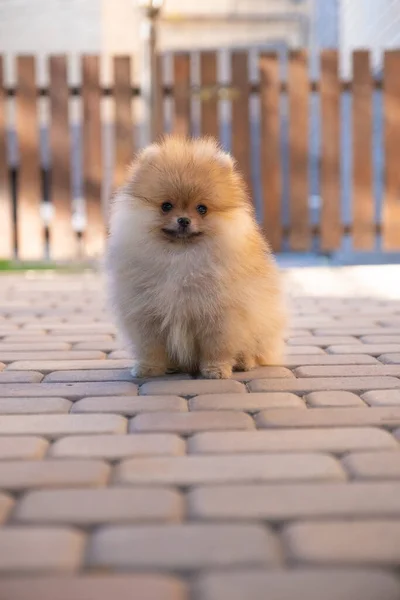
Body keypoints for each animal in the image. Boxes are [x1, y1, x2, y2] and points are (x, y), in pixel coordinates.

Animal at [107, 138, 284, 378]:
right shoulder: (146, 313)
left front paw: (216, 369)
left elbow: (217, 346)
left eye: (202, 209)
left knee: (254, 349)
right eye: (166, 206)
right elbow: (151, 347)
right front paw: (149, 368)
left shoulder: (219, 314)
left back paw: (243, 362)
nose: (183, 220)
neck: (181, 256)